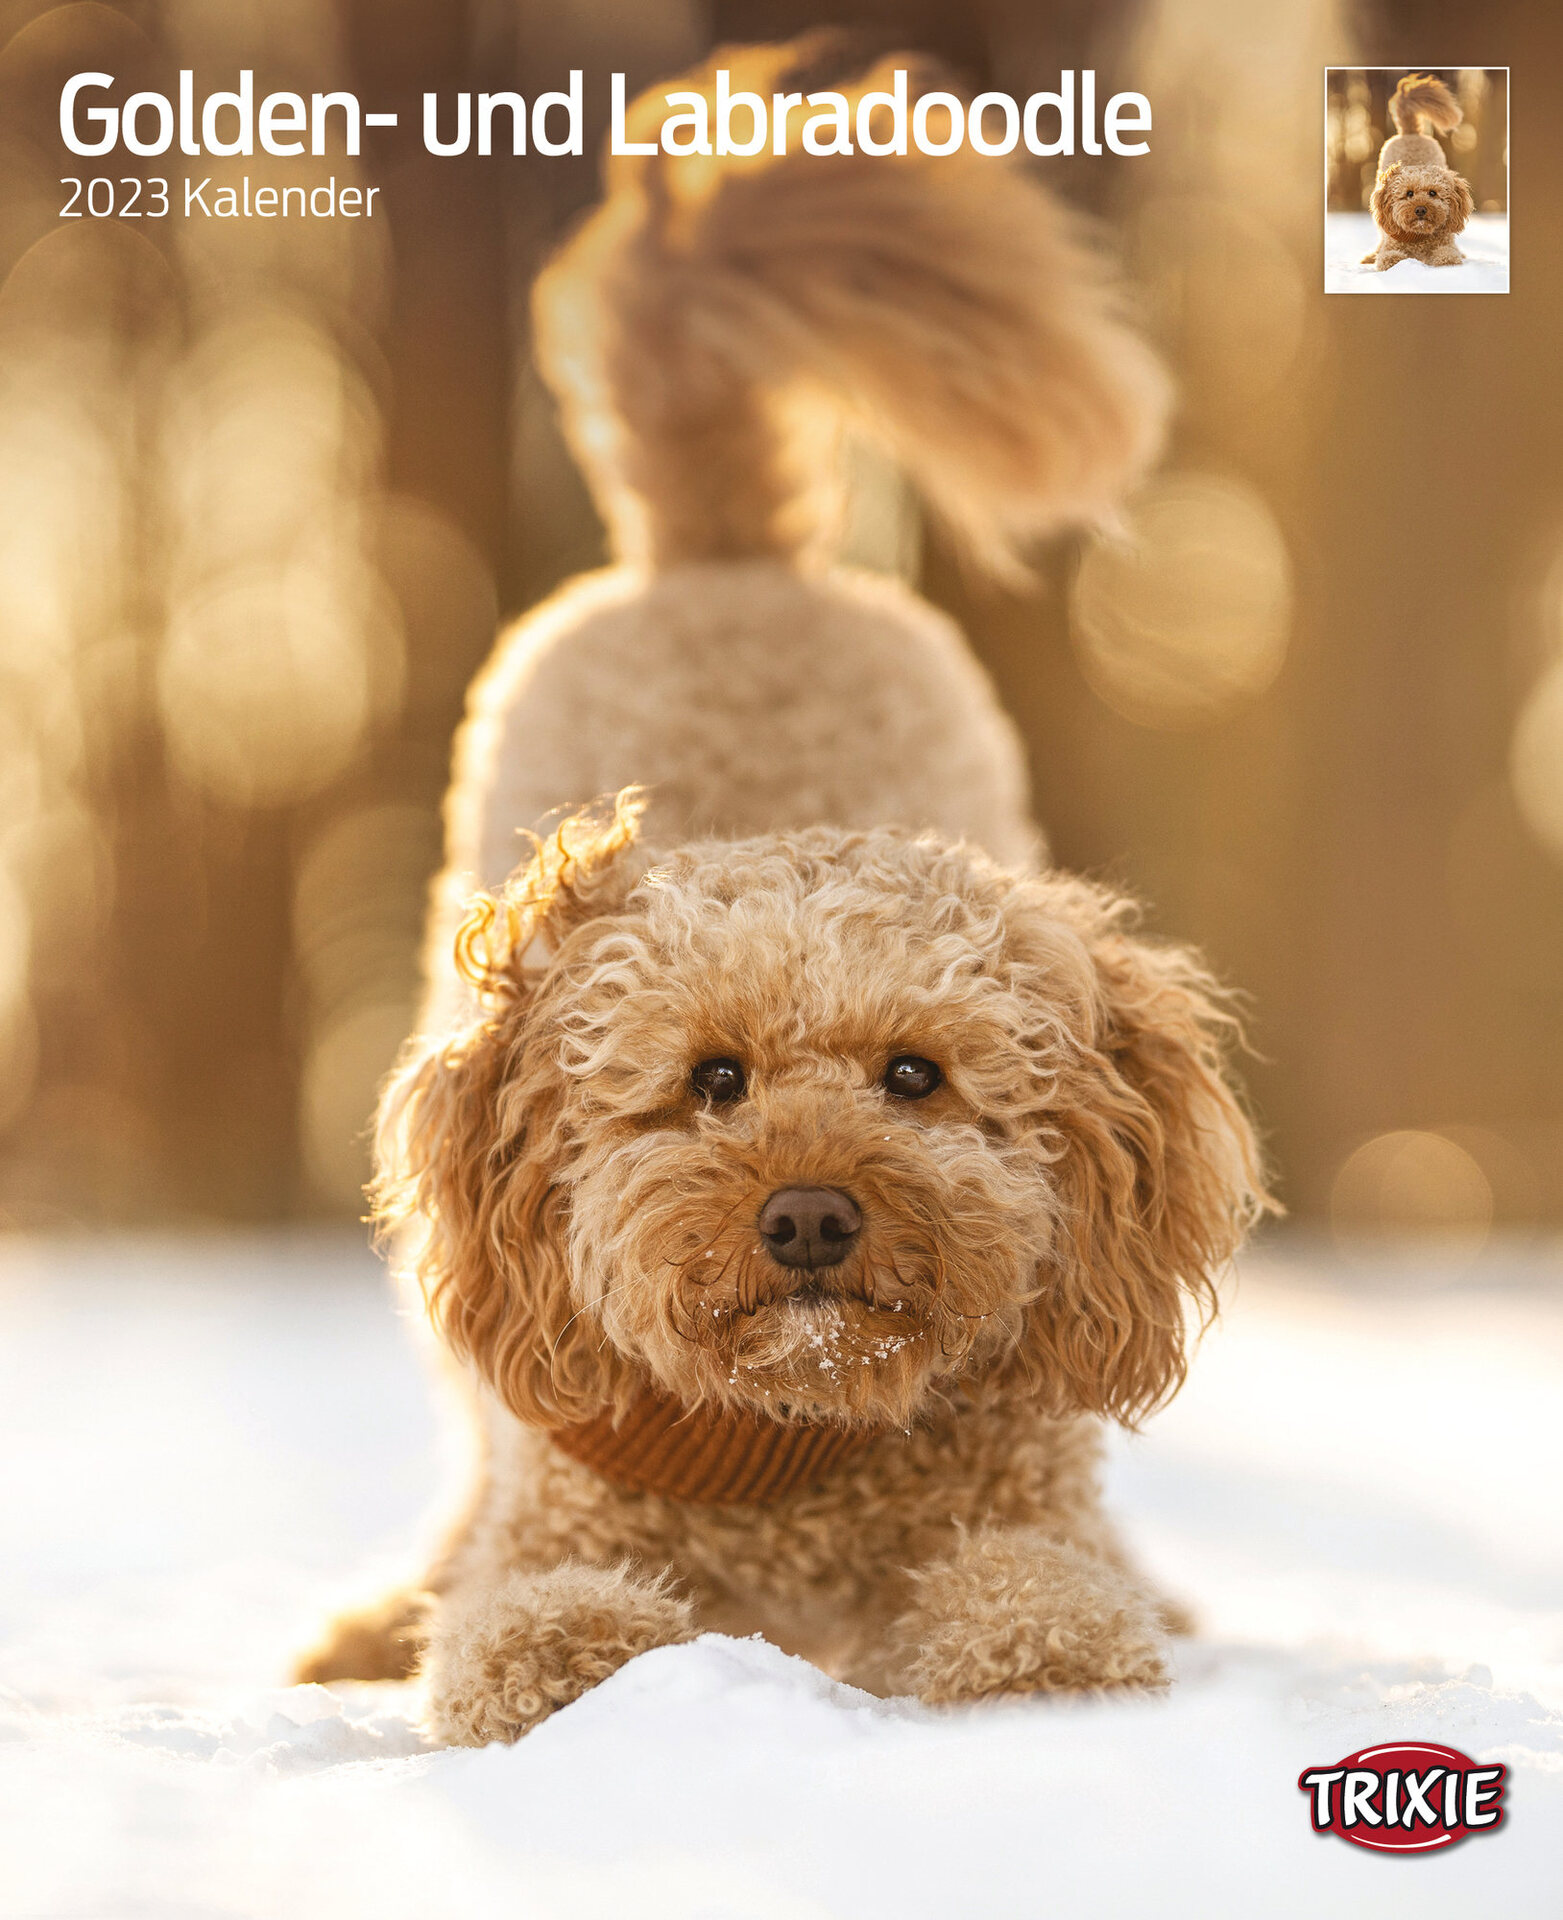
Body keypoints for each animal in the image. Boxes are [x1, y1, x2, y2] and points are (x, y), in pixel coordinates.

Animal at [297, 45, 1274, 1743]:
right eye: (712, 1082)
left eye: (915, 1076)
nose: (809, 1214)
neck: (798, 1440)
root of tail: (724, 547)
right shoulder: (559, 1518)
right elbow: (535, 1626)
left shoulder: (1020, 1507)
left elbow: (1042, 1609)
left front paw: (1040, 1680)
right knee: (473, 1443)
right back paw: (382, 1618)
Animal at [1367, 76, 1474, 270]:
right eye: (1409, 194)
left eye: (1433, 193)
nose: (1421, 209)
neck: (1419, 236)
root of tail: (1411, 132)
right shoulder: (1391, 247)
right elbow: (1389, 257)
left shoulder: (1446, 244)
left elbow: (1448, 256)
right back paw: (1371, 256)